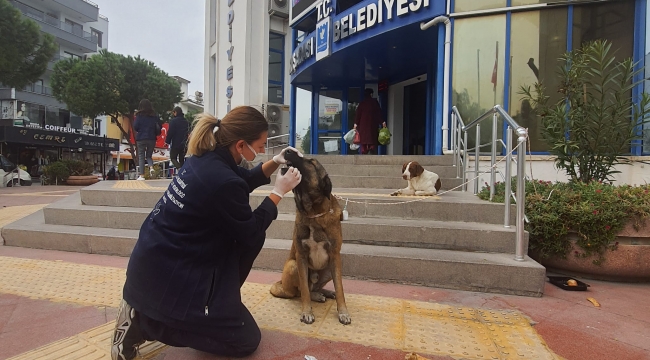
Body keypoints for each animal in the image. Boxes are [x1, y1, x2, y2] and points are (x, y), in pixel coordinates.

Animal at [268, 150, 350, 324]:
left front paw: (343, 312)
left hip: (328, 269)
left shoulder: (335, 256)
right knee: (300, 291)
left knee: (317, 286)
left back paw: (324, 292)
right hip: (293, 266)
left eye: (311, 162)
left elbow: (340, 287)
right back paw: (316, 295)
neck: (313, 213)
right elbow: (304, 291)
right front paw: (307, 312)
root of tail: (281, 284)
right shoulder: (301, 257)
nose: (288, 150)